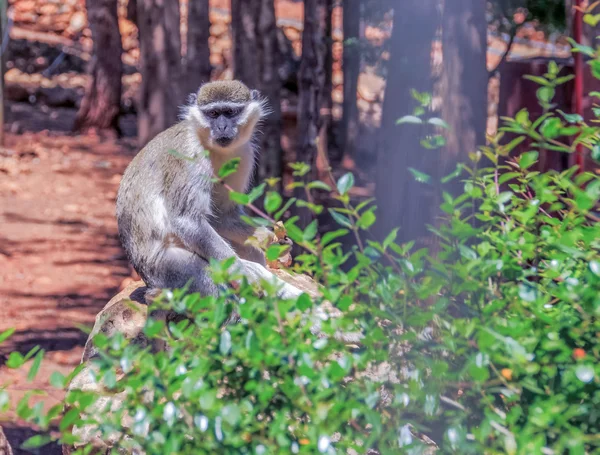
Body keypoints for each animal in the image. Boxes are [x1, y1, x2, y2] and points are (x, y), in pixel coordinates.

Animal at [116, 80, 304, 304]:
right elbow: (187, 219)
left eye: (230, 112)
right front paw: (242, 272)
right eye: (213, 114)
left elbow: (223, 215)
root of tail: (149, 283)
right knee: (206, 279)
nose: (222, 127)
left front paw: (272, 240)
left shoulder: (244, 155)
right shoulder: (190, 155)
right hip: (166, 270)